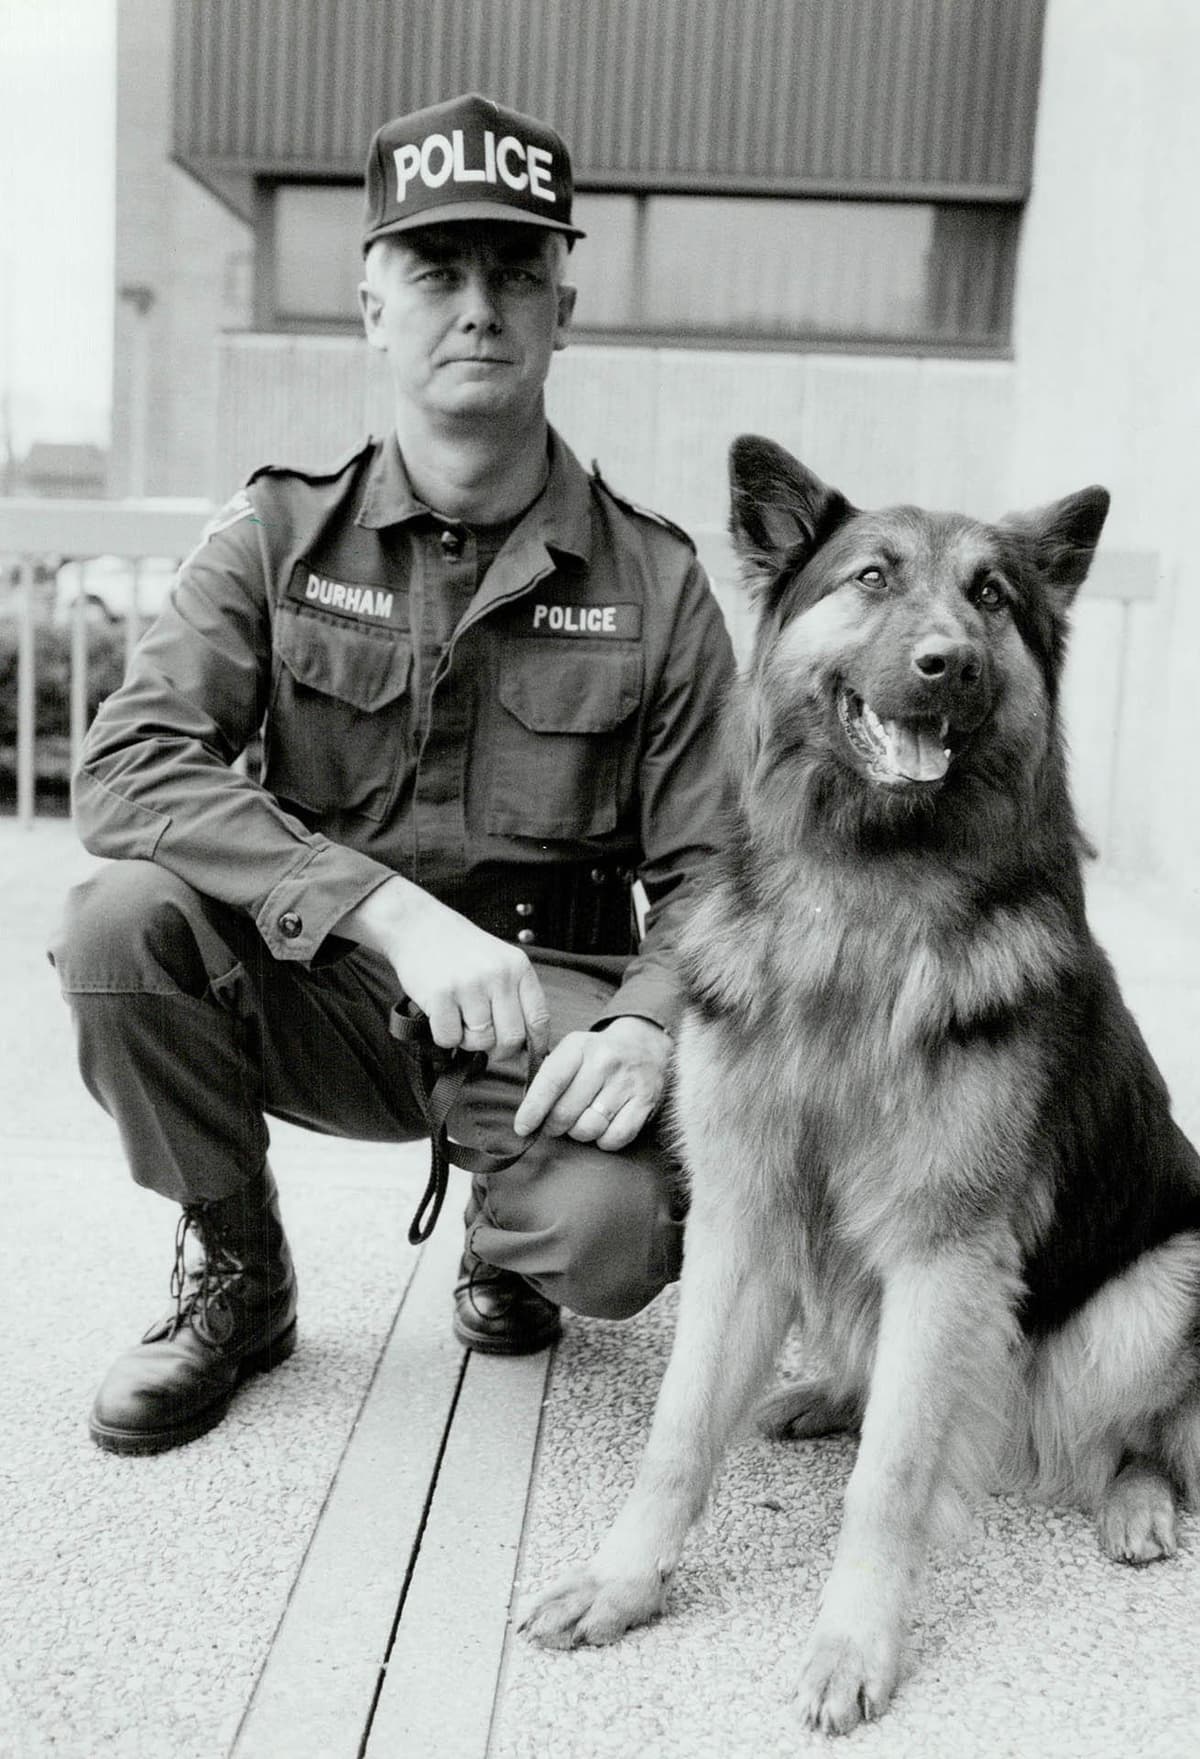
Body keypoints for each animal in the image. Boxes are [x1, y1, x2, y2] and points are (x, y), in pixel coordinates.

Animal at [520, 439, 1196, 1730]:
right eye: (873, 576)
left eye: (993, 597)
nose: (952, 663)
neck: (863, 903)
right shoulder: (742, 1219)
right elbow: (680, 1431)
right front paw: (625, 1581)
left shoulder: (945, 1254)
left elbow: (890, 1477)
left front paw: (853, 1644)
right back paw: (826, 1392)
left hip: (1162, 1283)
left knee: (1147, 1429)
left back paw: (1137, 1501)